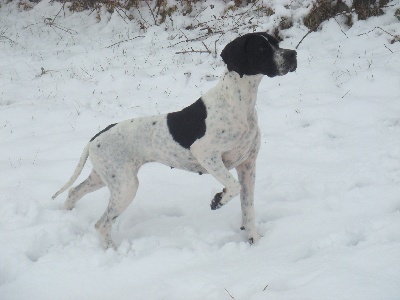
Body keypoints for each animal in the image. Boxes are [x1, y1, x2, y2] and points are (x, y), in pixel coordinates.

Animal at [52, 32, 296, 248]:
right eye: (261, 49)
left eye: (276, 43)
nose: (293, 54)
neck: (239, 102)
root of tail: (94, 139)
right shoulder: (206, 153)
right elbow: (233, 187)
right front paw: (218, 200)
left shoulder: (247, 165)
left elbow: (248, 207)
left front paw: (253, 239)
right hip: (126, 186)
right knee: (101, 224)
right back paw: (114, 252)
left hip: (105, 178)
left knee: (74, 192)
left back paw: (67, 214)